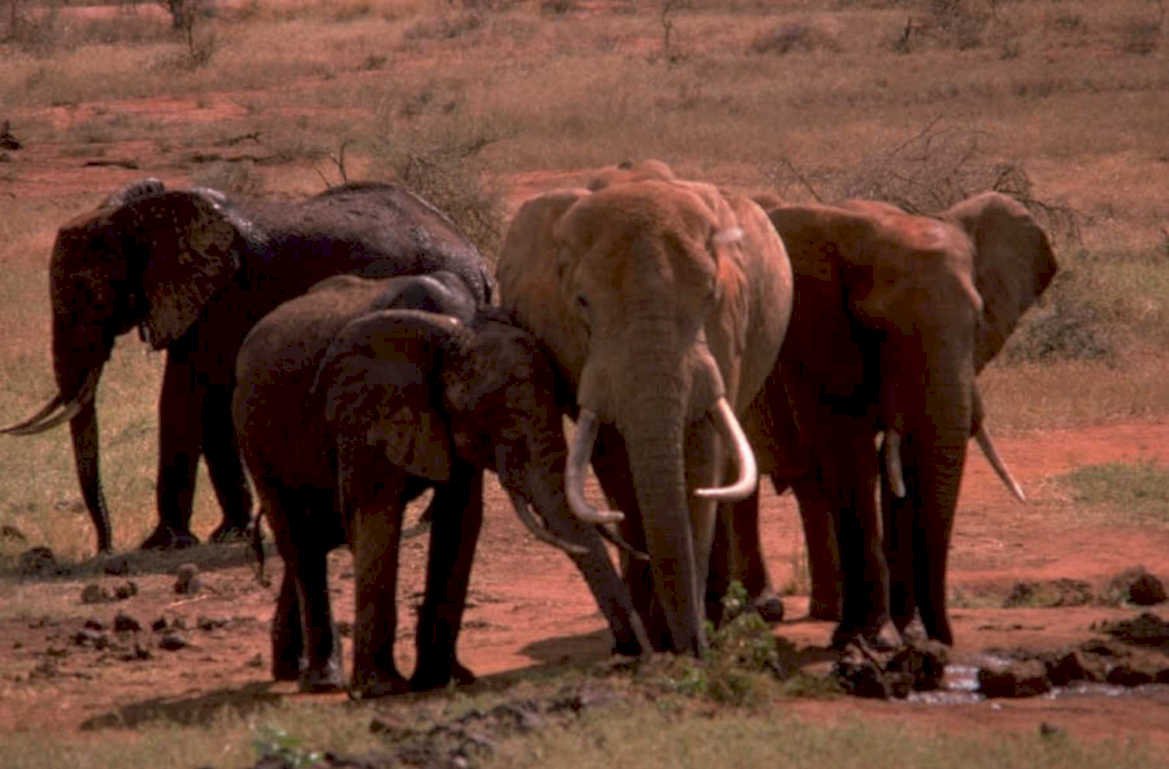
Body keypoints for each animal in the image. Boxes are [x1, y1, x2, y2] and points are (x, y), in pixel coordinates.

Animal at [2, 179, 491, 553]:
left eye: (94, 296)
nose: (104, 549)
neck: (139, 215)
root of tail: (477, 257)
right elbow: (212, 406)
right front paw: (226, 535)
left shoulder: (220, 298)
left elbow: (184, 397)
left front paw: (162, 544)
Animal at [232, 272, 648, 696]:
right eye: (492, 420)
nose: (631, 653)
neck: (457, 327)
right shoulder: (366, 407)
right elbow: (375, 514)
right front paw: (383, 689)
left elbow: (460, 518)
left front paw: (442, 679)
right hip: (252, 430)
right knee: (299, 538)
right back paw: (322, 681)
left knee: (320, 532)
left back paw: (292, 670)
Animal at [496, 160, 793, 655]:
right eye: (582, 302)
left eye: (710, 296)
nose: (692, 649)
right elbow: (614, 463)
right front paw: (656, 637)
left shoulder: (723, 333)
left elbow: (703, 455)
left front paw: (699, 631)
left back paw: (757, 608)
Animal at [716, 192, 1057, 647]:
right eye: (877, 328)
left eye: (977, 322)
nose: (943, 641)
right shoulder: (814, 338)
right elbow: (854, 456)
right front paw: (876, 640)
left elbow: (900, 463)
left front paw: (903, 635)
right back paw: (762, 611)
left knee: (810, 487)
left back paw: (826, 612)